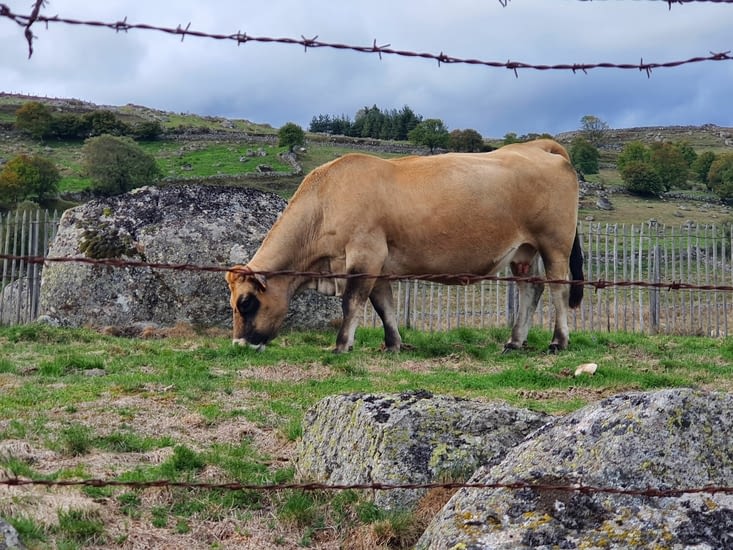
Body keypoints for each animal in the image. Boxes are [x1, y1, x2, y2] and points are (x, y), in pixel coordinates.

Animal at [226, 139, 584, 354]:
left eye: (246, 302)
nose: (239, 343)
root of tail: (537, 145)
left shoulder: (365, 255)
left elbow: (352, 303)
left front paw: (341, 345)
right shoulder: (379, 265)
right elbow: (384, 306)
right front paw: (393, 343)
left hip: (554, 243)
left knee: (558, 289)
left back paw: (558, 340)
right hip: (523, 251)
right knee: (530, 290)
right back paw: (515, 340)